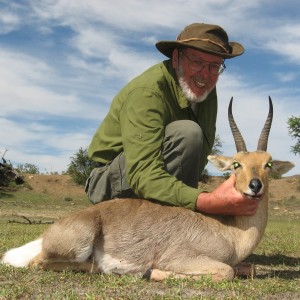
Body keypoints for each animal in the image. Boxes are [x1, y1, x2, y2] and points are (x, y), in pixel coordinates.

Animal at [1, 98, 294, 282]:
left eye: (268, 163)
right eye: (236, 164)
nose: (255, 186)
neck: (230, 232)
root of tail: (48, 233)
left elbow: (249, 268)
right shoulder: (181, 258)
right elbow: (226, 272)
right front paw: (150, 272)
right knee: (39, 263)